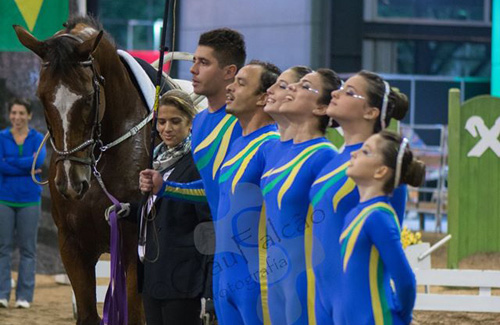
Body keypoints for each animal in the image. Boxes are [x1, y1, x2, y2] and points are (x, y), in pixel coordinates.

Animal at [13, 16, 158, 322]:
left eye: (90, 98)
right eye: (42, 97)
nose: (71, 182)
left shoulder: (133, 251)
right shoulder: (73, 247)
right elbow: (88, 315)